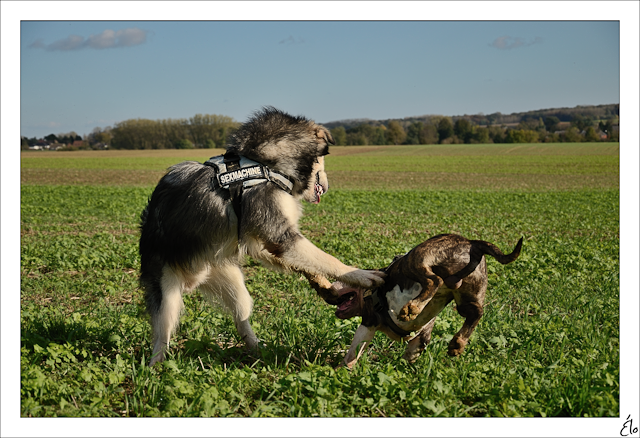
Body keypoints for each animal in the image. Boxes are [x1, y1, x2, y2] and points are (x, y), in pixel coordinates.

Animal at [139, 107, 382, 366]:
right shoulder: (280, 235)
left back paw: (258, 350)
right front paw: (360, 275)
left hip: (232, 283)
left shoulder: (261, 242)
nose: (326, 188)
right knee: (161, 337)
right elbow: (327, 259)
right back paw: (156, 367)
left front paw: (325, 287)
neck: (266, 165)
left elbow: (307, 263)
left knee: (241, 318)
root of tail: (193, 281)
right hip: (167, 296)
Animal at [308, 234, 524, 368]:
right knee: (476, 312)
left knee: (433, 280)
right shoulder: (421, 338)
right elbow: (411, 353)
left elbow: (354, 351)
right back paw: (458, 343)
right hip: (467, 295)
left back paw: (412, 307)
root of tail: (471, 243)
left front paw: (343, 369)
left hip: (417, 259)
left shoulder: (368, 322)